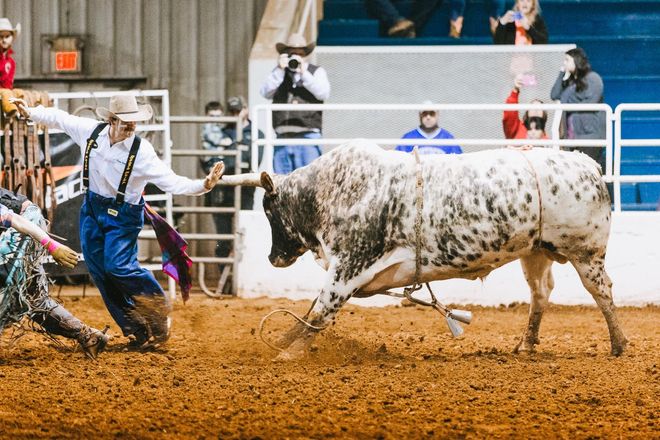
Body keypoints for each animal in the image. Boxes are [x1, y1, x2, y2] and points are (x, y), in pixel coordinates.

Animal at [222, 139, 628, 360]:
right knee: (541, 293)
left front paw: (288, 352)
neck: (333, 190)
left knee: (602, 291)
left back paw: (619, 344)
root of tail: (586, 162)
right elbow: (311, 311)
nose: (273, 257)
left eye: (269, 209)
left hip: (586, 254)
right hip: (535, 252)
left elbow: (320, 312)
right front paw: (281, 341)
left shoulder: (349, 266)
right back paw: (526, 344)